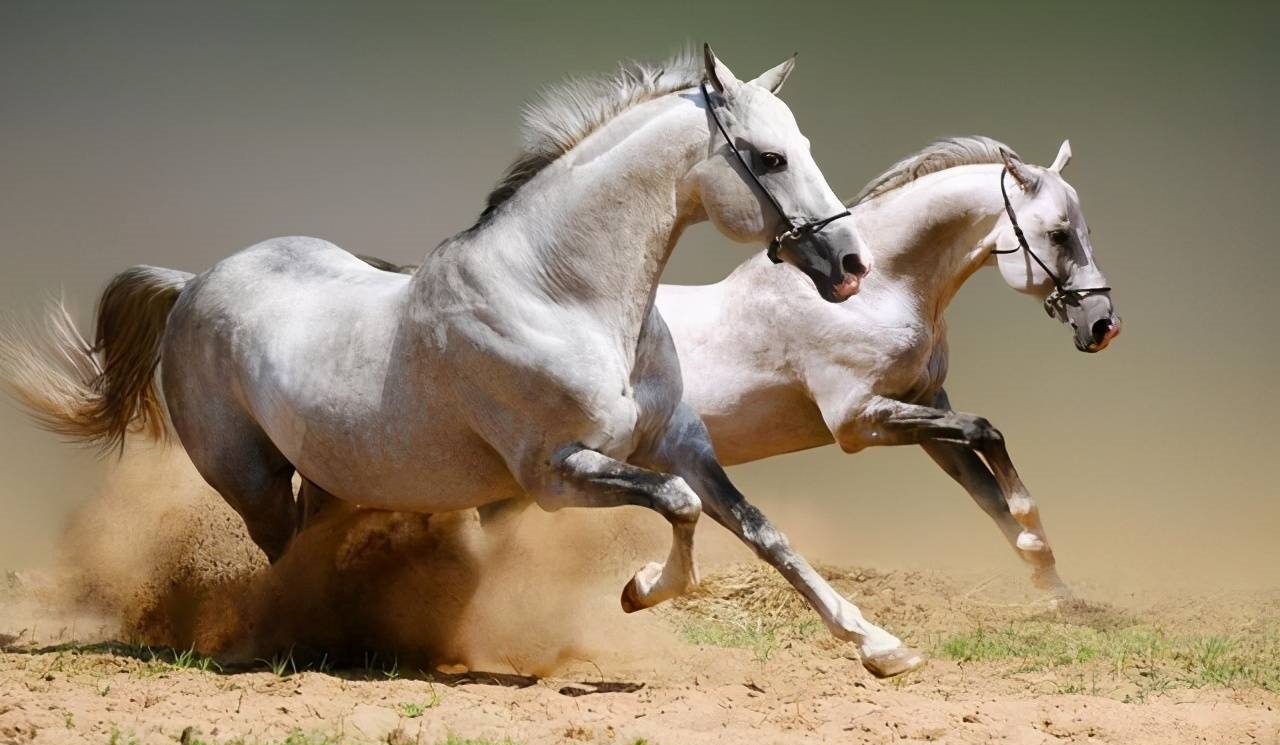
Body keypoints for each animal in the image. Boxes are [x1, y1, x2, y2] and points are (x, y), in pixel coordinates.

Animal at [1, 47, 930, 677]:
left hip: (331, 478)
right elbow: (678, 508)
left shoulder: (679, 443)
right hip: (250, 477)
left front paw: (881, 646)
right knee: (281, 557)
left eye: (801, 143)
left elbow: (760, 529)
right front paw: (638, 589)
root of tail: (194, 282)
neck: (561, 294)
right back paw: (303, 638)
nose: (850, 264)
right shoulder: (555, 474)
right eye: (769, 157)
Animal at [659, 136, 1120, 598]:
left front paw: (1053, 585)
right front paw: (1032, 532)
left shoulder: (925, 404)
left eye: (1088, 232)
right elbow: (984, 431)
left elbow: (985, 490)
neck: (874, 293)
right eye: (1058, 234)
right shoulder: (857, 421)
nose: (1103, 325)